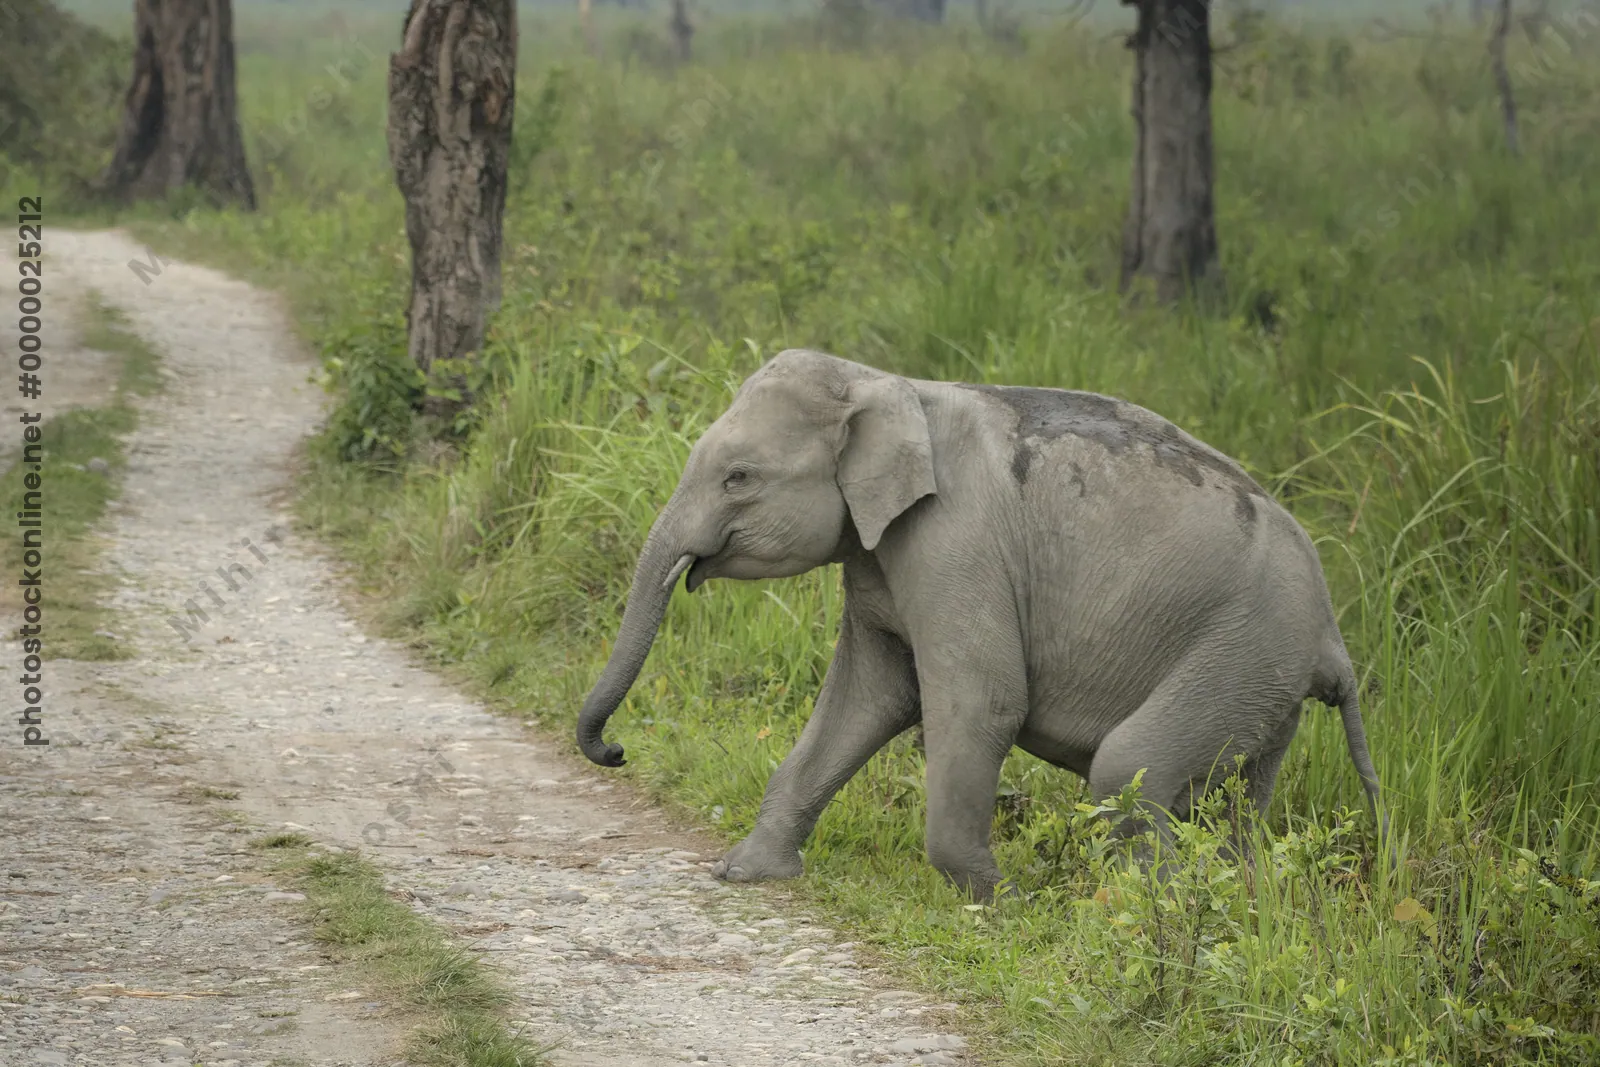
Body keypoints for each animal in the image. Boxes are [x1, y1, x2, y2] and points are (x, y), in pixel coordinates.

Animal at [575, 349, 1384, 901]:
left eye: (739, 477)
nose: (616, 750)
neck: (885, 382)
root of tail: (1332, 636)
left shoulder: (956, 542)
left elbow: (981, 701)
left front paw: (1004, 902)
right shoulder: (880, 555)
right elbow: (866, 700)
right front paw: (745, 873)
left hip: (1244, 647)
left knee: (1129, 766)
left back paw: (1147, 912)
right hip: (1262, 678)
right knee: (1230, 799)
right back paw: (1230, 901)